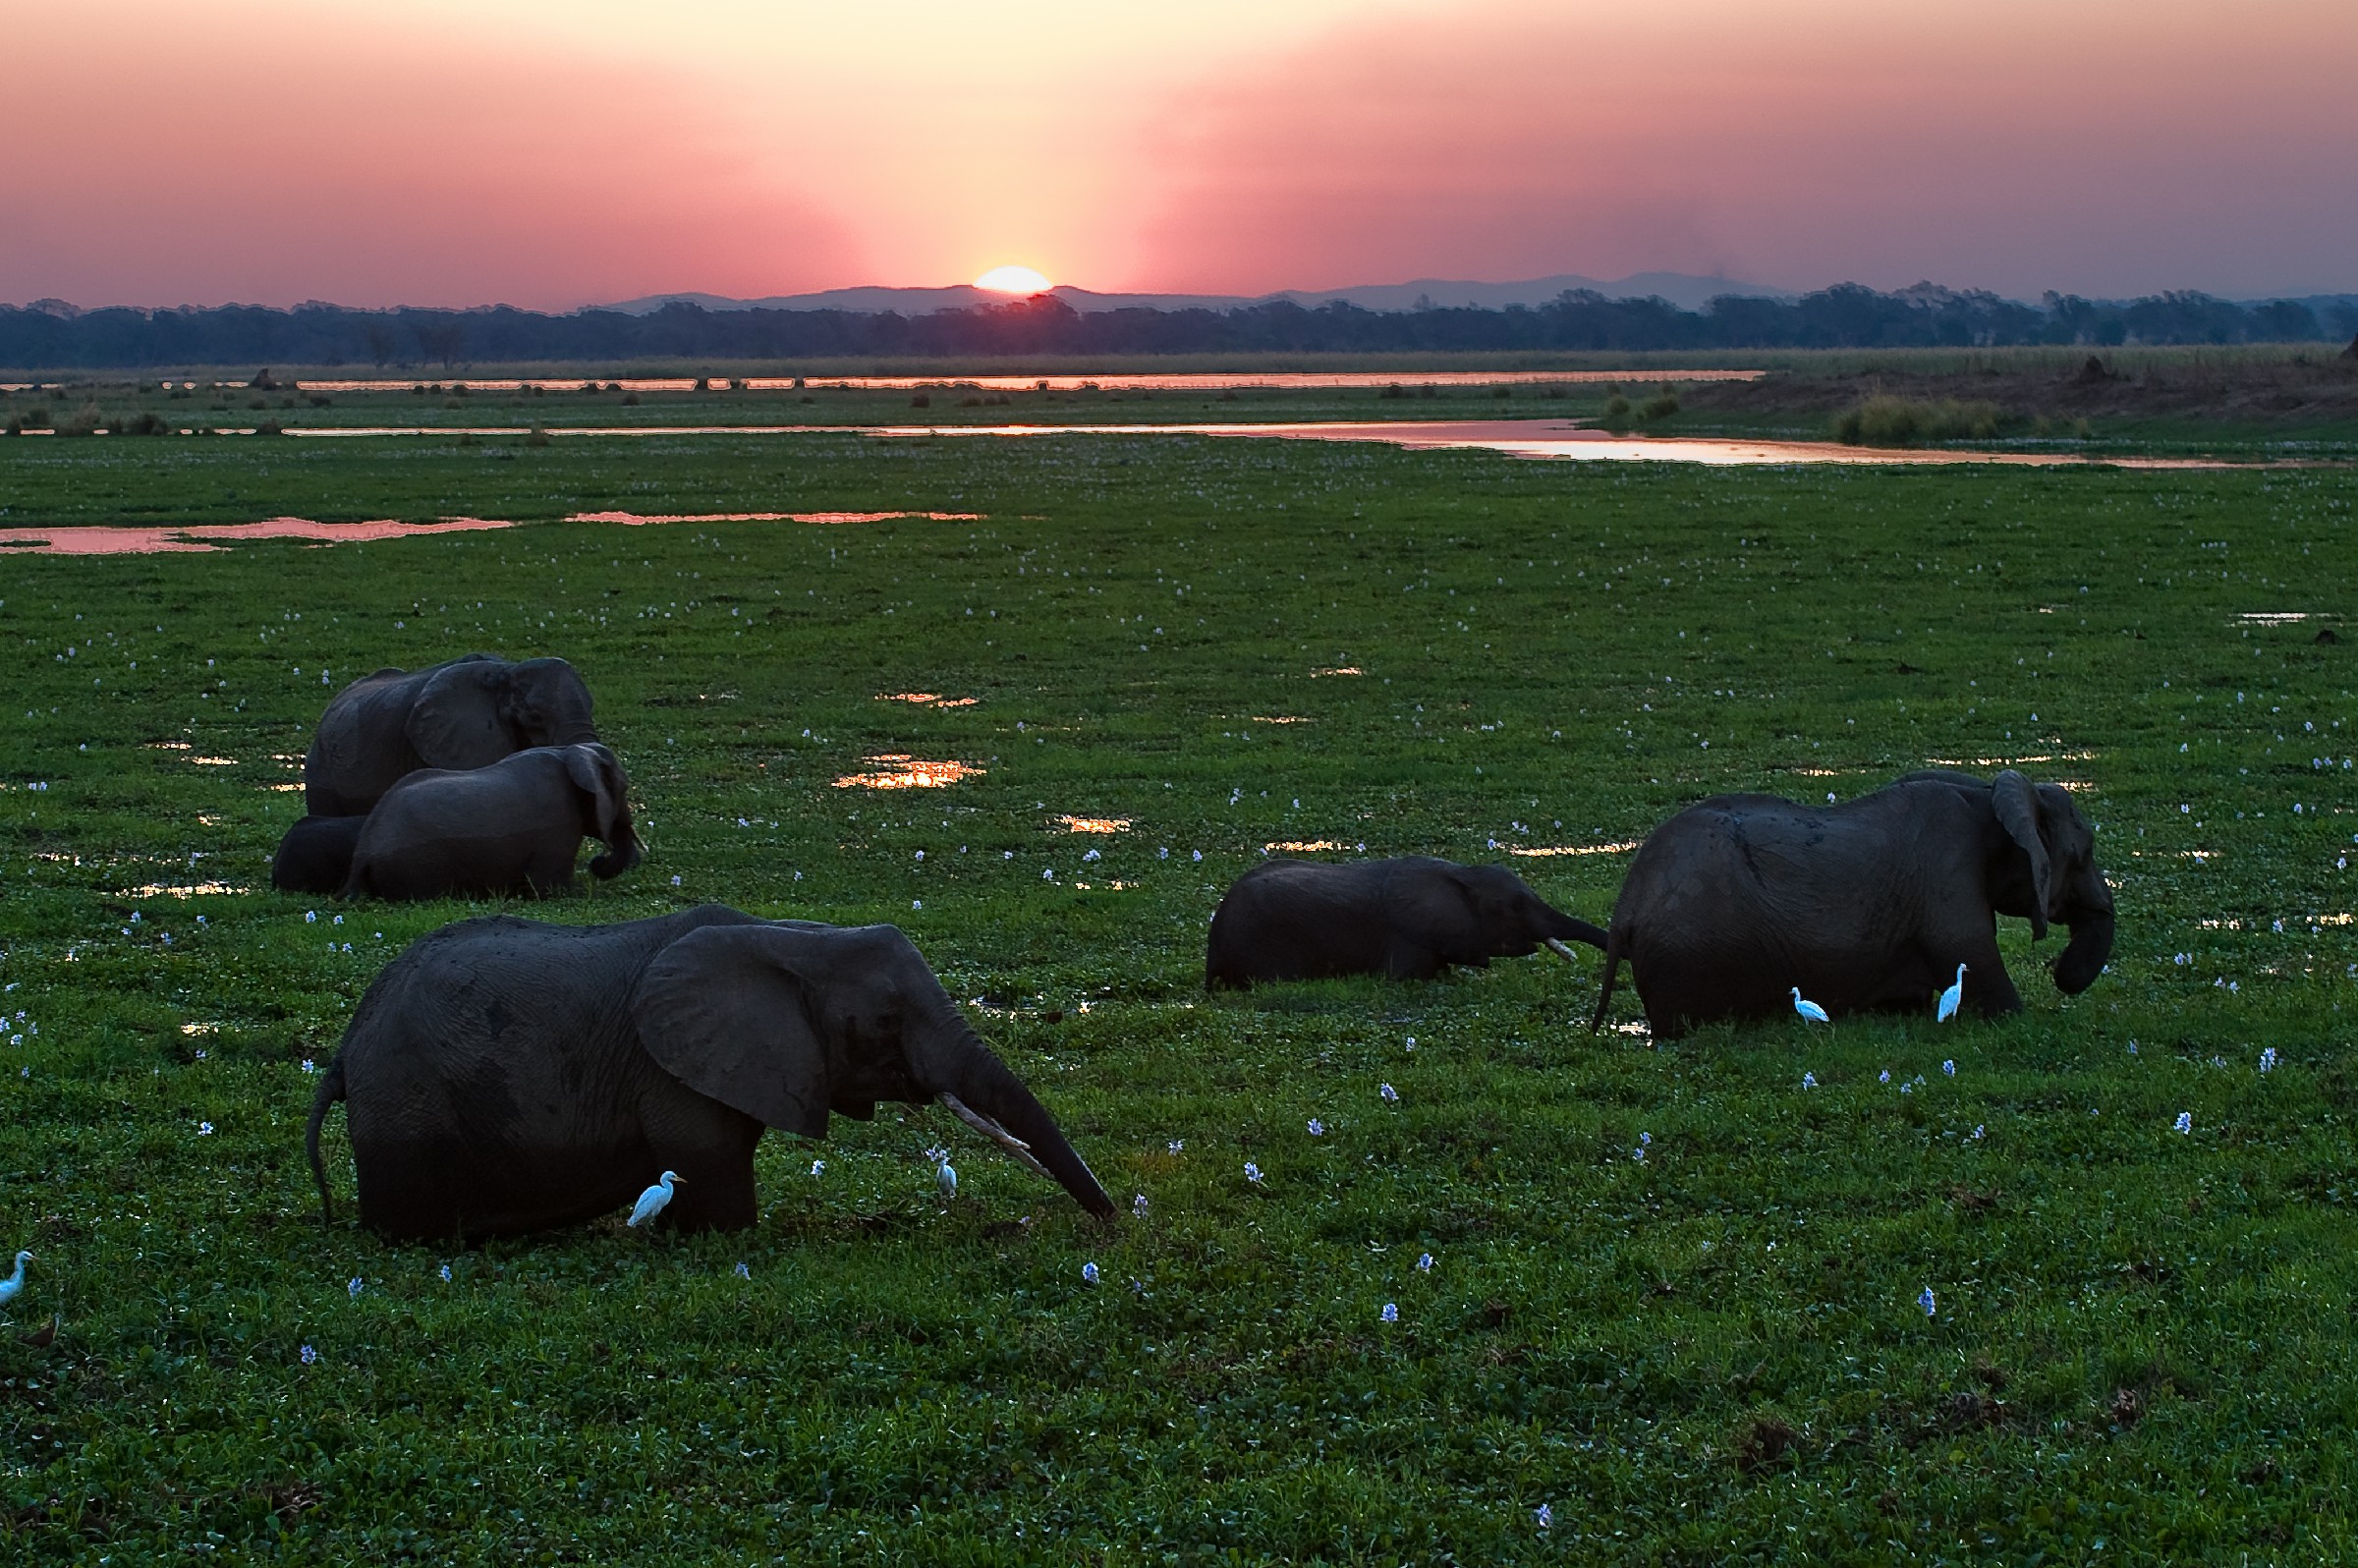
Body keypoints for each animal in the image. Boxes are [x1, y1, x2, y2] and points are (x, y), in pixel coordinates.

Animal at [309, 905, 1117, 1235]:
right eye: (887, 1021)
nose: (1115, 1222)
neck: (785, 936)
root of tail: (344, 1050)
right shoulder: (668, 1068)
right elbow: (713, 1166)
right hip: (405, 1105)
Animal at [344, 740, 641, 900]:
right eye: (624, 787)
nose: (598, 861)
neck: (568, 752)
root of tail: (361, 856)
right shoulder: (559, 823)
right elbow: (548, 888)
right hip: (419, 864)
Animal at [1584, 768, 2122, 1037]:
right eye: (2086, 851)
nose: (2059, 971)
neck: (1983, 792)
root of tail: (1625, 905)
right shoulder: (1946, 884)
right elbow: (1982, 971)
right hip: (1686, 952)